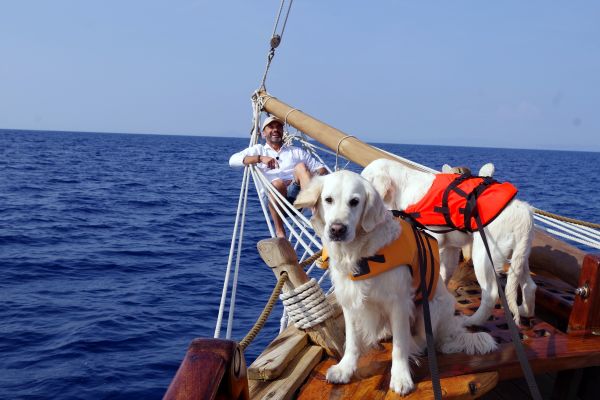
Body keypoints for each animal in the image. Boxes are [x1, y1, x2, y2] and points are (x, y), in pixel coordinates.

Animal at [292, 170, 494, 396]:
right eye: (328, 200)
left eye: (354, 202)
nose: (337, 229)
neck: (360, 252)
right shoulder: (349, 301)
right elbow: (351, 341)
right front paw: (345, 368)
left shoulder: (398, 303)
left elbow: (400, 345)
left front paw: (400, 377)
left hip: (432, 307)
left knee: (426, 340)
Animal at [358, 158, 536, 326]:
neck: (404, 186)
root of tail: (524, 215)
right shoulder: (451, 248)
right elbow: (444, 273)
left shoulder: (434, 239)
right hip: (519, 257)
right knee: (530, 286)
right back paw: (524, 310)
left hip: (484, 255)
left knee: (491, 294)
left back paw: (471, 321)